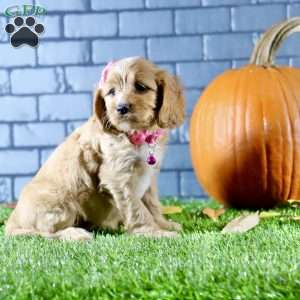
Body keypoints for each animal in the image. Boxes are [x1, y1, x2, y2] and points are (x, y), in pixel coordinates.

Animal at [5, 56, 185, 240]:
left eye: (141, 87)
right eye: (111, 92)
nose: (121, 108)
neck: (137, 134)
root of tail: (11, 222)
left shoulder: (149, 175)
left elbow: (152, 203)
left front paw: (163, 224)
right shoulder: (117, 178)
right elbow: (137, 209)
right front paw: (153, 232)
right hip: (61, 202)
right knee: (44, 233)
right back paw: (75, 234)